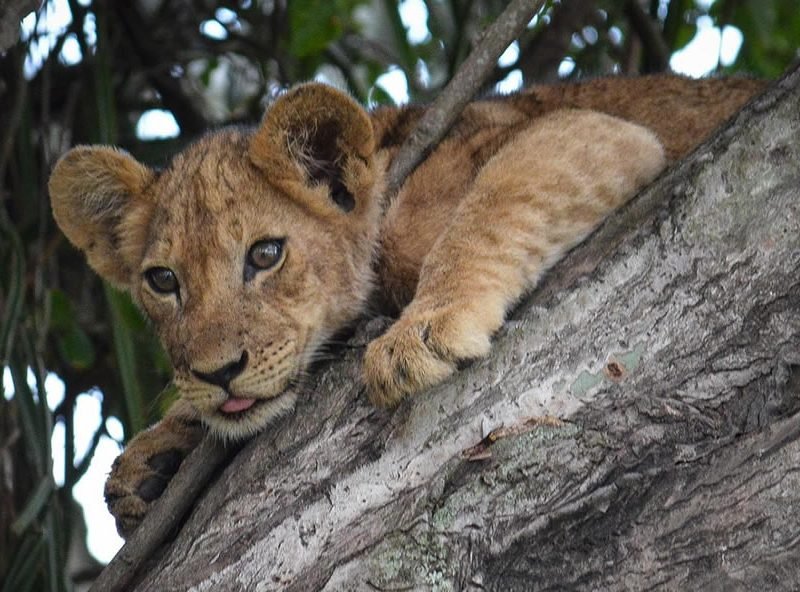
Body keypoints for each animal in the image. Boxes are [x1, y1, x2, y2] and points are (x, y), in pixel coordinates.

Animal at [48, 74, 765, 536]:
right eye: (163, 280)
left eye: (265, 254)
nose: (218, 373)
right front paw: (150, 459)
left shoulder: (588, 129)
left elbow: (488, 211)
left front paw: (419, 335)